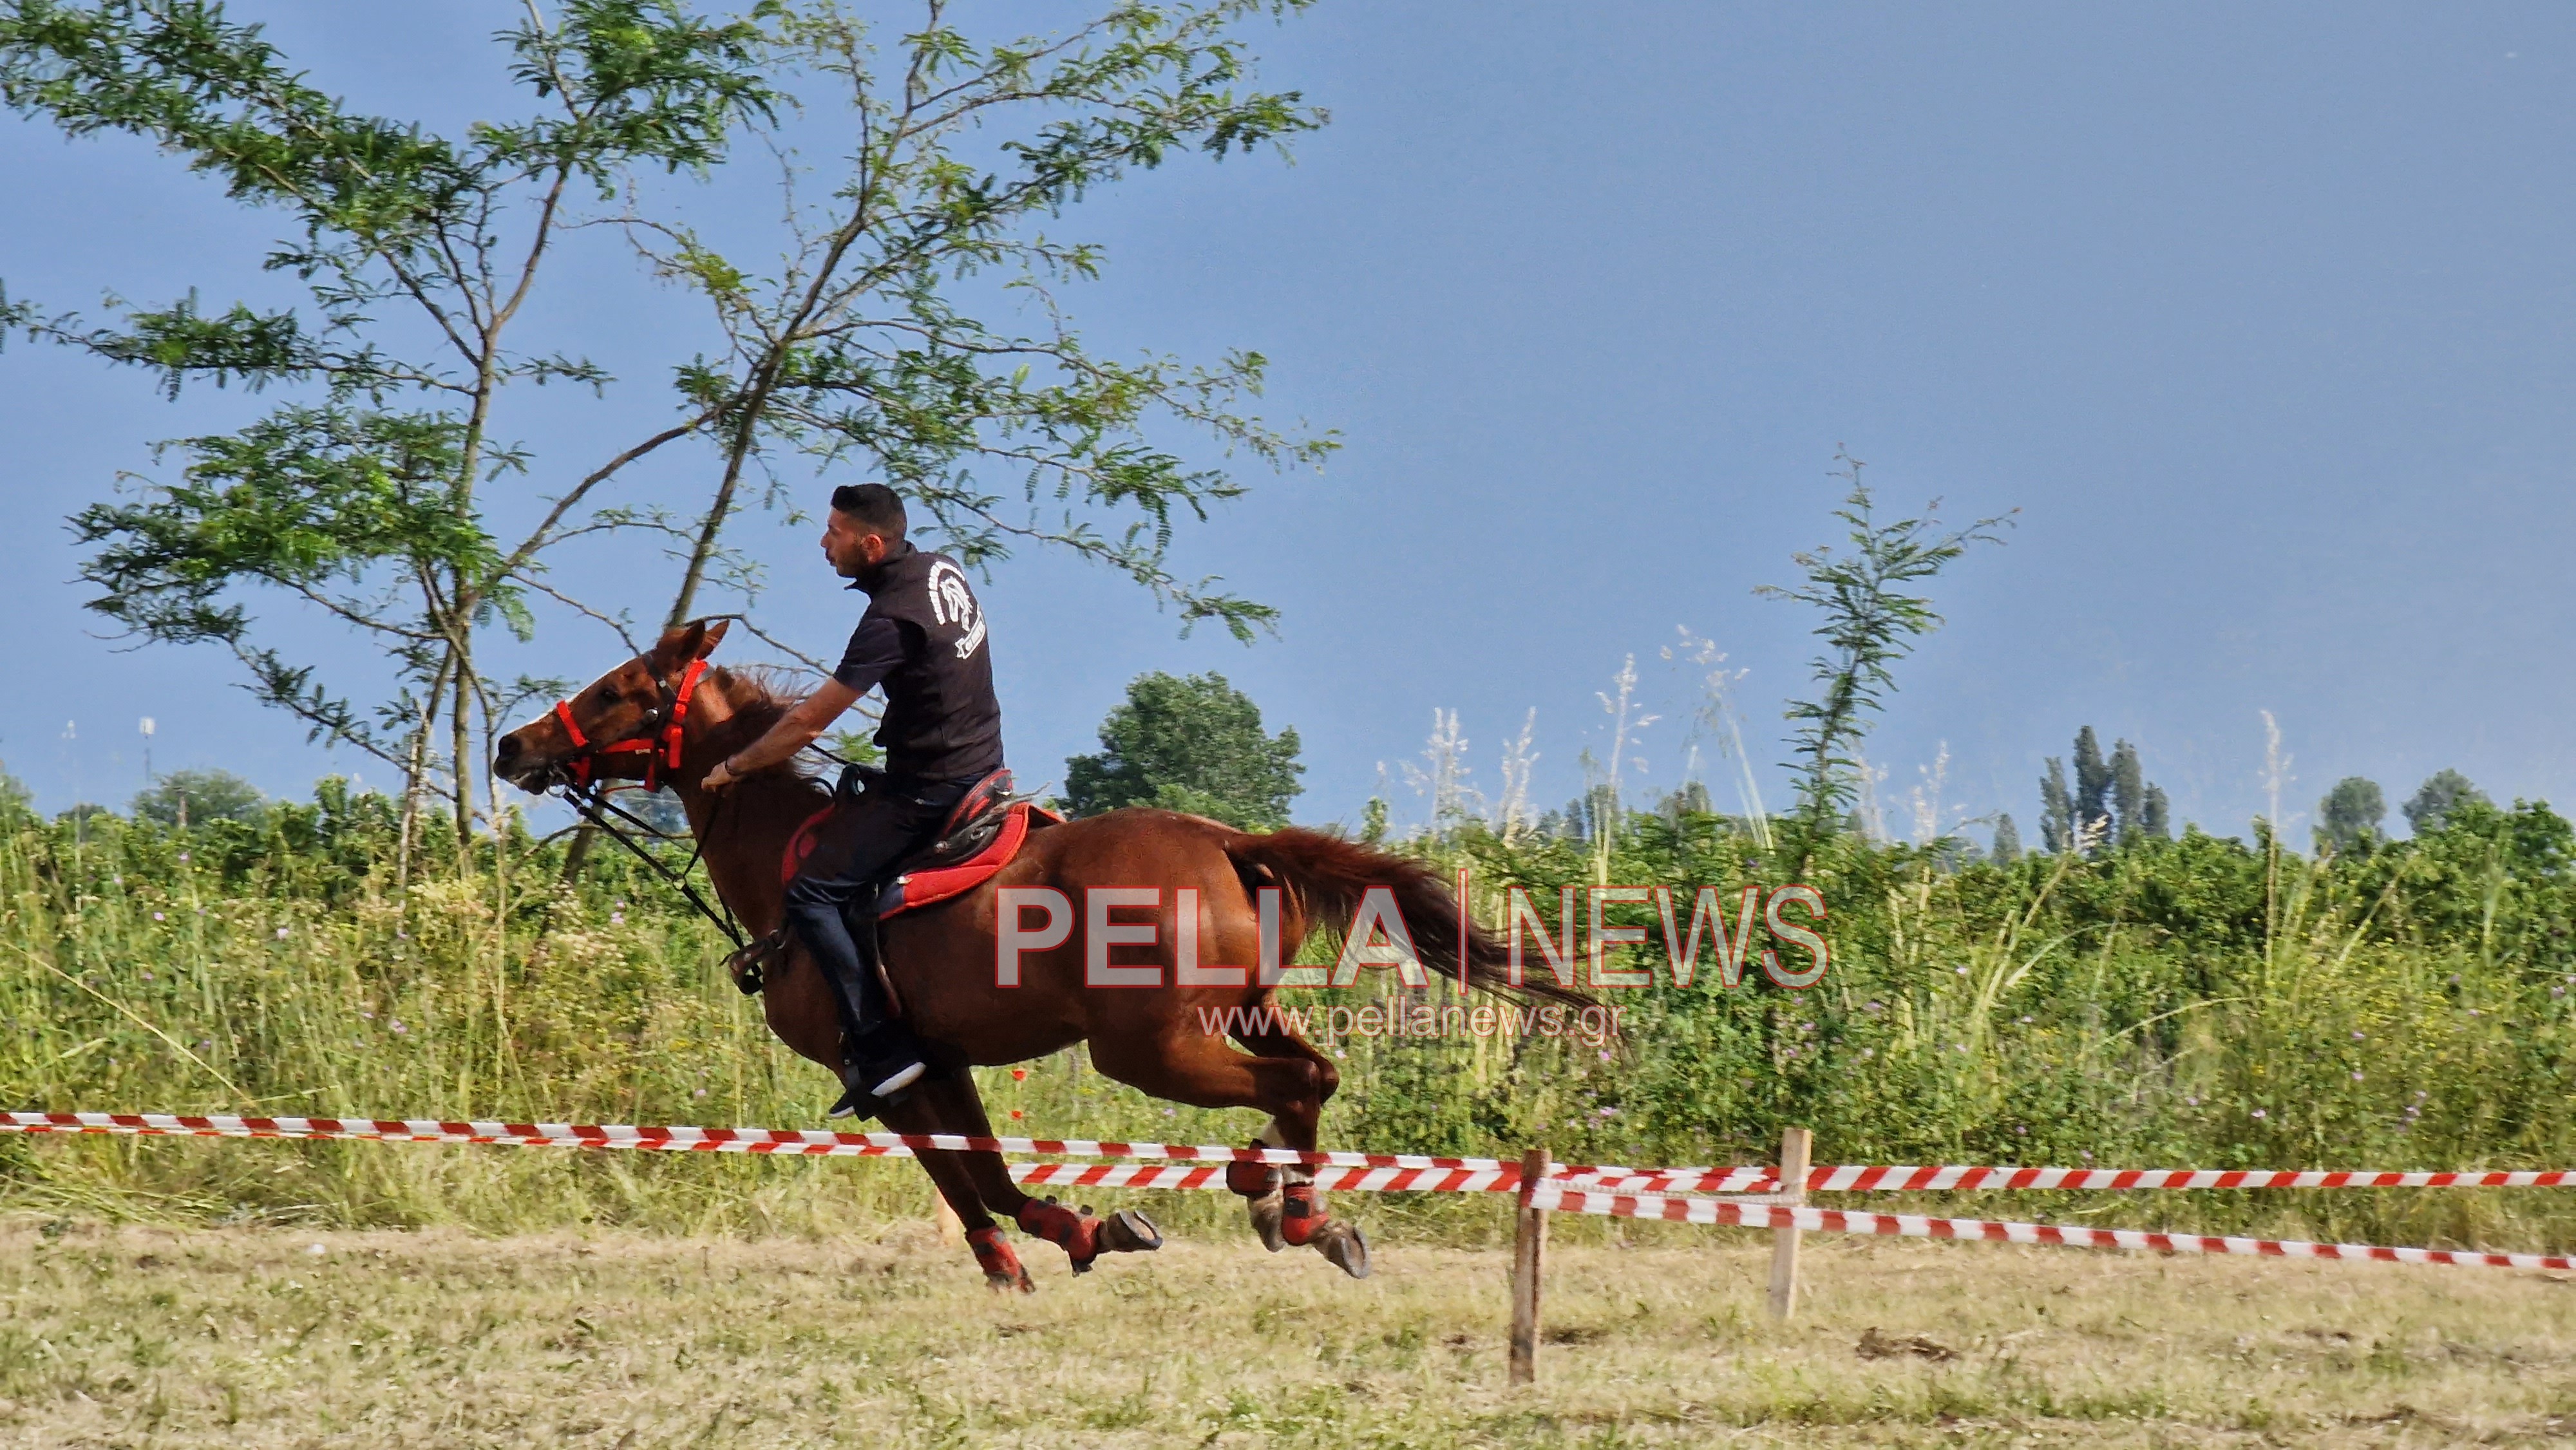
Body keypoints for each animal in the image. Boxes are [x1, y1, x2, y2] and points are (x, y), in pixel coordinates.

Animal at [482, 623, 1566, 1293]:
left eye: (620, 690)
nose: (511, 747)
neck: (785, 856)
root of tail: (1229, 844)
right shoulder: (945, 1061)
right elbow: (994, 1174)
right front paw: (1085, 1230)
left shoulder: (883, 1074)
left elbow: (967, 1183)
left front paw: (1019, 1257)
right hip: (1235, 1015)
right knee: (1315, 1076)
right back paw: (1293, 1202)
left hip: (1148, 1049)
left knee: (1297, 1083)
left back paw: (1280, 1198)